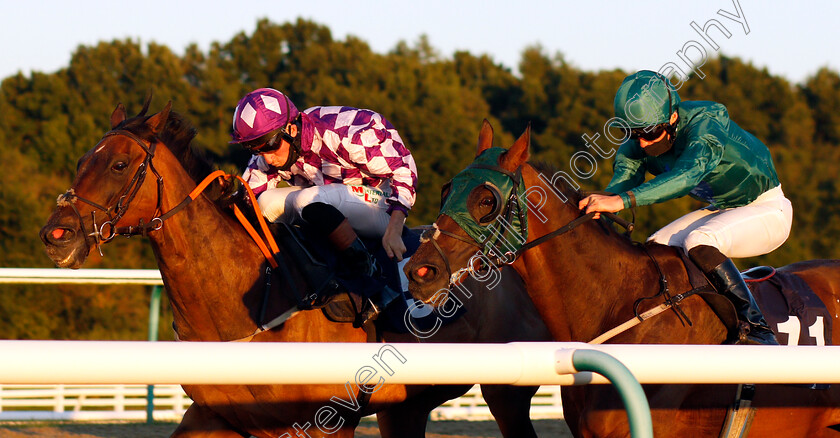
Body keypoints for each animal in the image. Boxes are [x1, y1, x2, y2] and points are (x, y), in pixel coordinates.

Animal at [39, 102, 552, 438]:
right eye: (83, 160)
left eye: (119, 163)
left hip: (507, 391)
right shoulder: (214, 417)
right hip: (406, 406)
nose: (56, 234)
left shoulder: (325, 421)